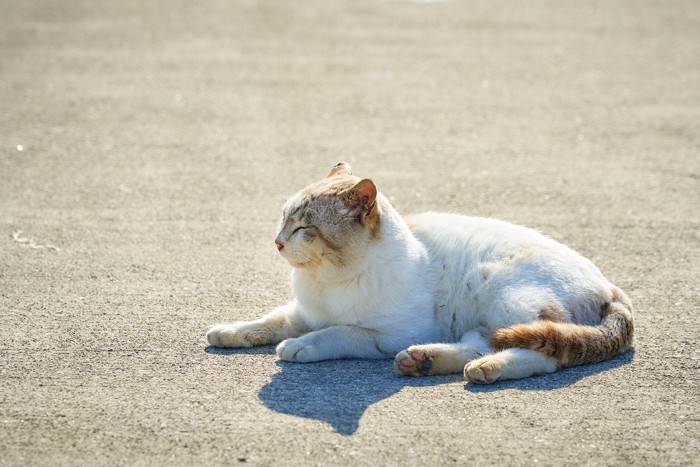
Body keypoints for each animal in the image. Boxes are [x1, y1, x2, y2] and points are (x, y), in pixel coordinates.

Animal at [208, 164, 636, 384]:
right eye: (284, 219)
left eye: (303, 229)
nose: (277, 242)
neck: (326, 283)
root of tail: (610, 286)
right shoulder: (303, 312)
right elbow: (268, 320)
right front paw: (231, 331)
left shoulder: (388, 334)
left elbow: (338, 332)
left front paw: (302, 345)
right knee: (477, 344)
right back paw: (424, 361)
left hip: (507, 299)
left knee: (540, 354)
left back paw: (485, 369)